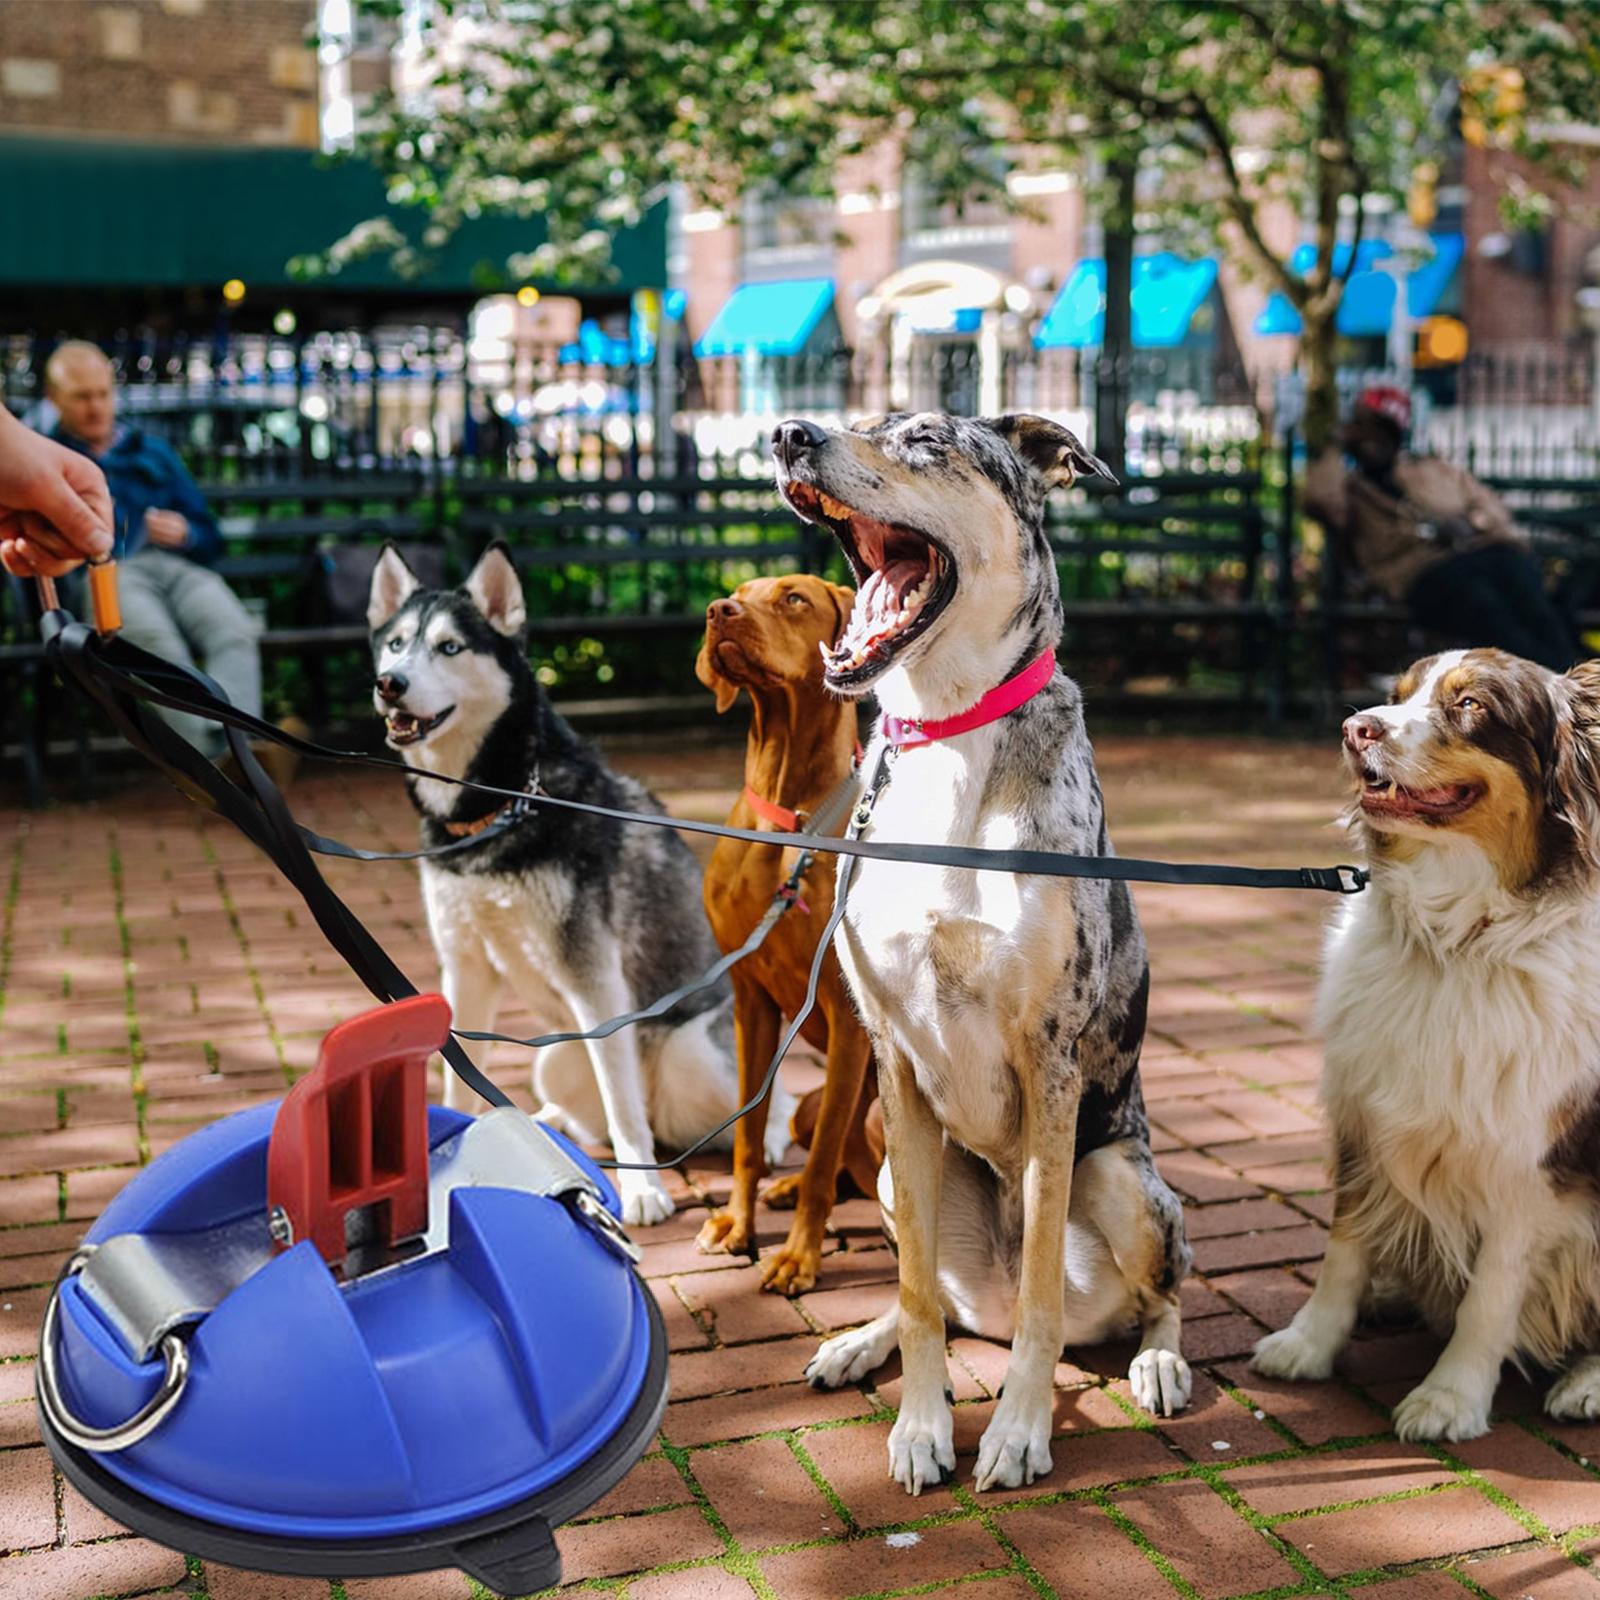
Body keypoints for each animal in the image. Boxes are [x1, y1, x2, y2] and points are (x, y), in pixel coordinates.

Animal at [363, 540, 787, 1222]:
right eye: (397, 643)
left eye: (451, 647)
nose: (390, 684)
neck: (501, 805)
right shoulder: (465, 970)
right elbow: (459, 1085)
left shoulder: (595, 977)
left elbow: (622, 1102)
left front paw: (642, 1192)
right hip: (557, 1056)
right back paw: (547, 1121)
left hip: (689, 1054)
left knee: (753, 1103)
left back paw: (761, 1139)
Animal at [694, 579, 883, 1299]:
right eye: (736, 594)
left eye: (794, 598)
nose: (718, 612)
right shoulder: (750, 998)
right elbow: (748, 1136)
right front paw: (737, 1223)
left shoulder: (848, 1017)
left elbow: (827, 1159)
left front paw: (799, 1258)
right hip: (806, 1103)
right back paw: (785, 1187)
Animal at [768, 416, 1196, 1497]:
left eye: (925, 438)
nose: (790, 433)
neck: (946, 731)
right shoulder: (893, 1058)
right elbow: (920, 1293)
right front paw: (923, 1427)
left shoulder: (1050, 1062)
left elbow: (1043, 1288)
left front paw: (1016, 1432)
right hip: (889, 1172)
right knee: (941, 1295)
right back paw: (859, 1343)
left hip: (1124, 1182)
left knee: (1157, 1294)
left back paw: (1158, 1362)